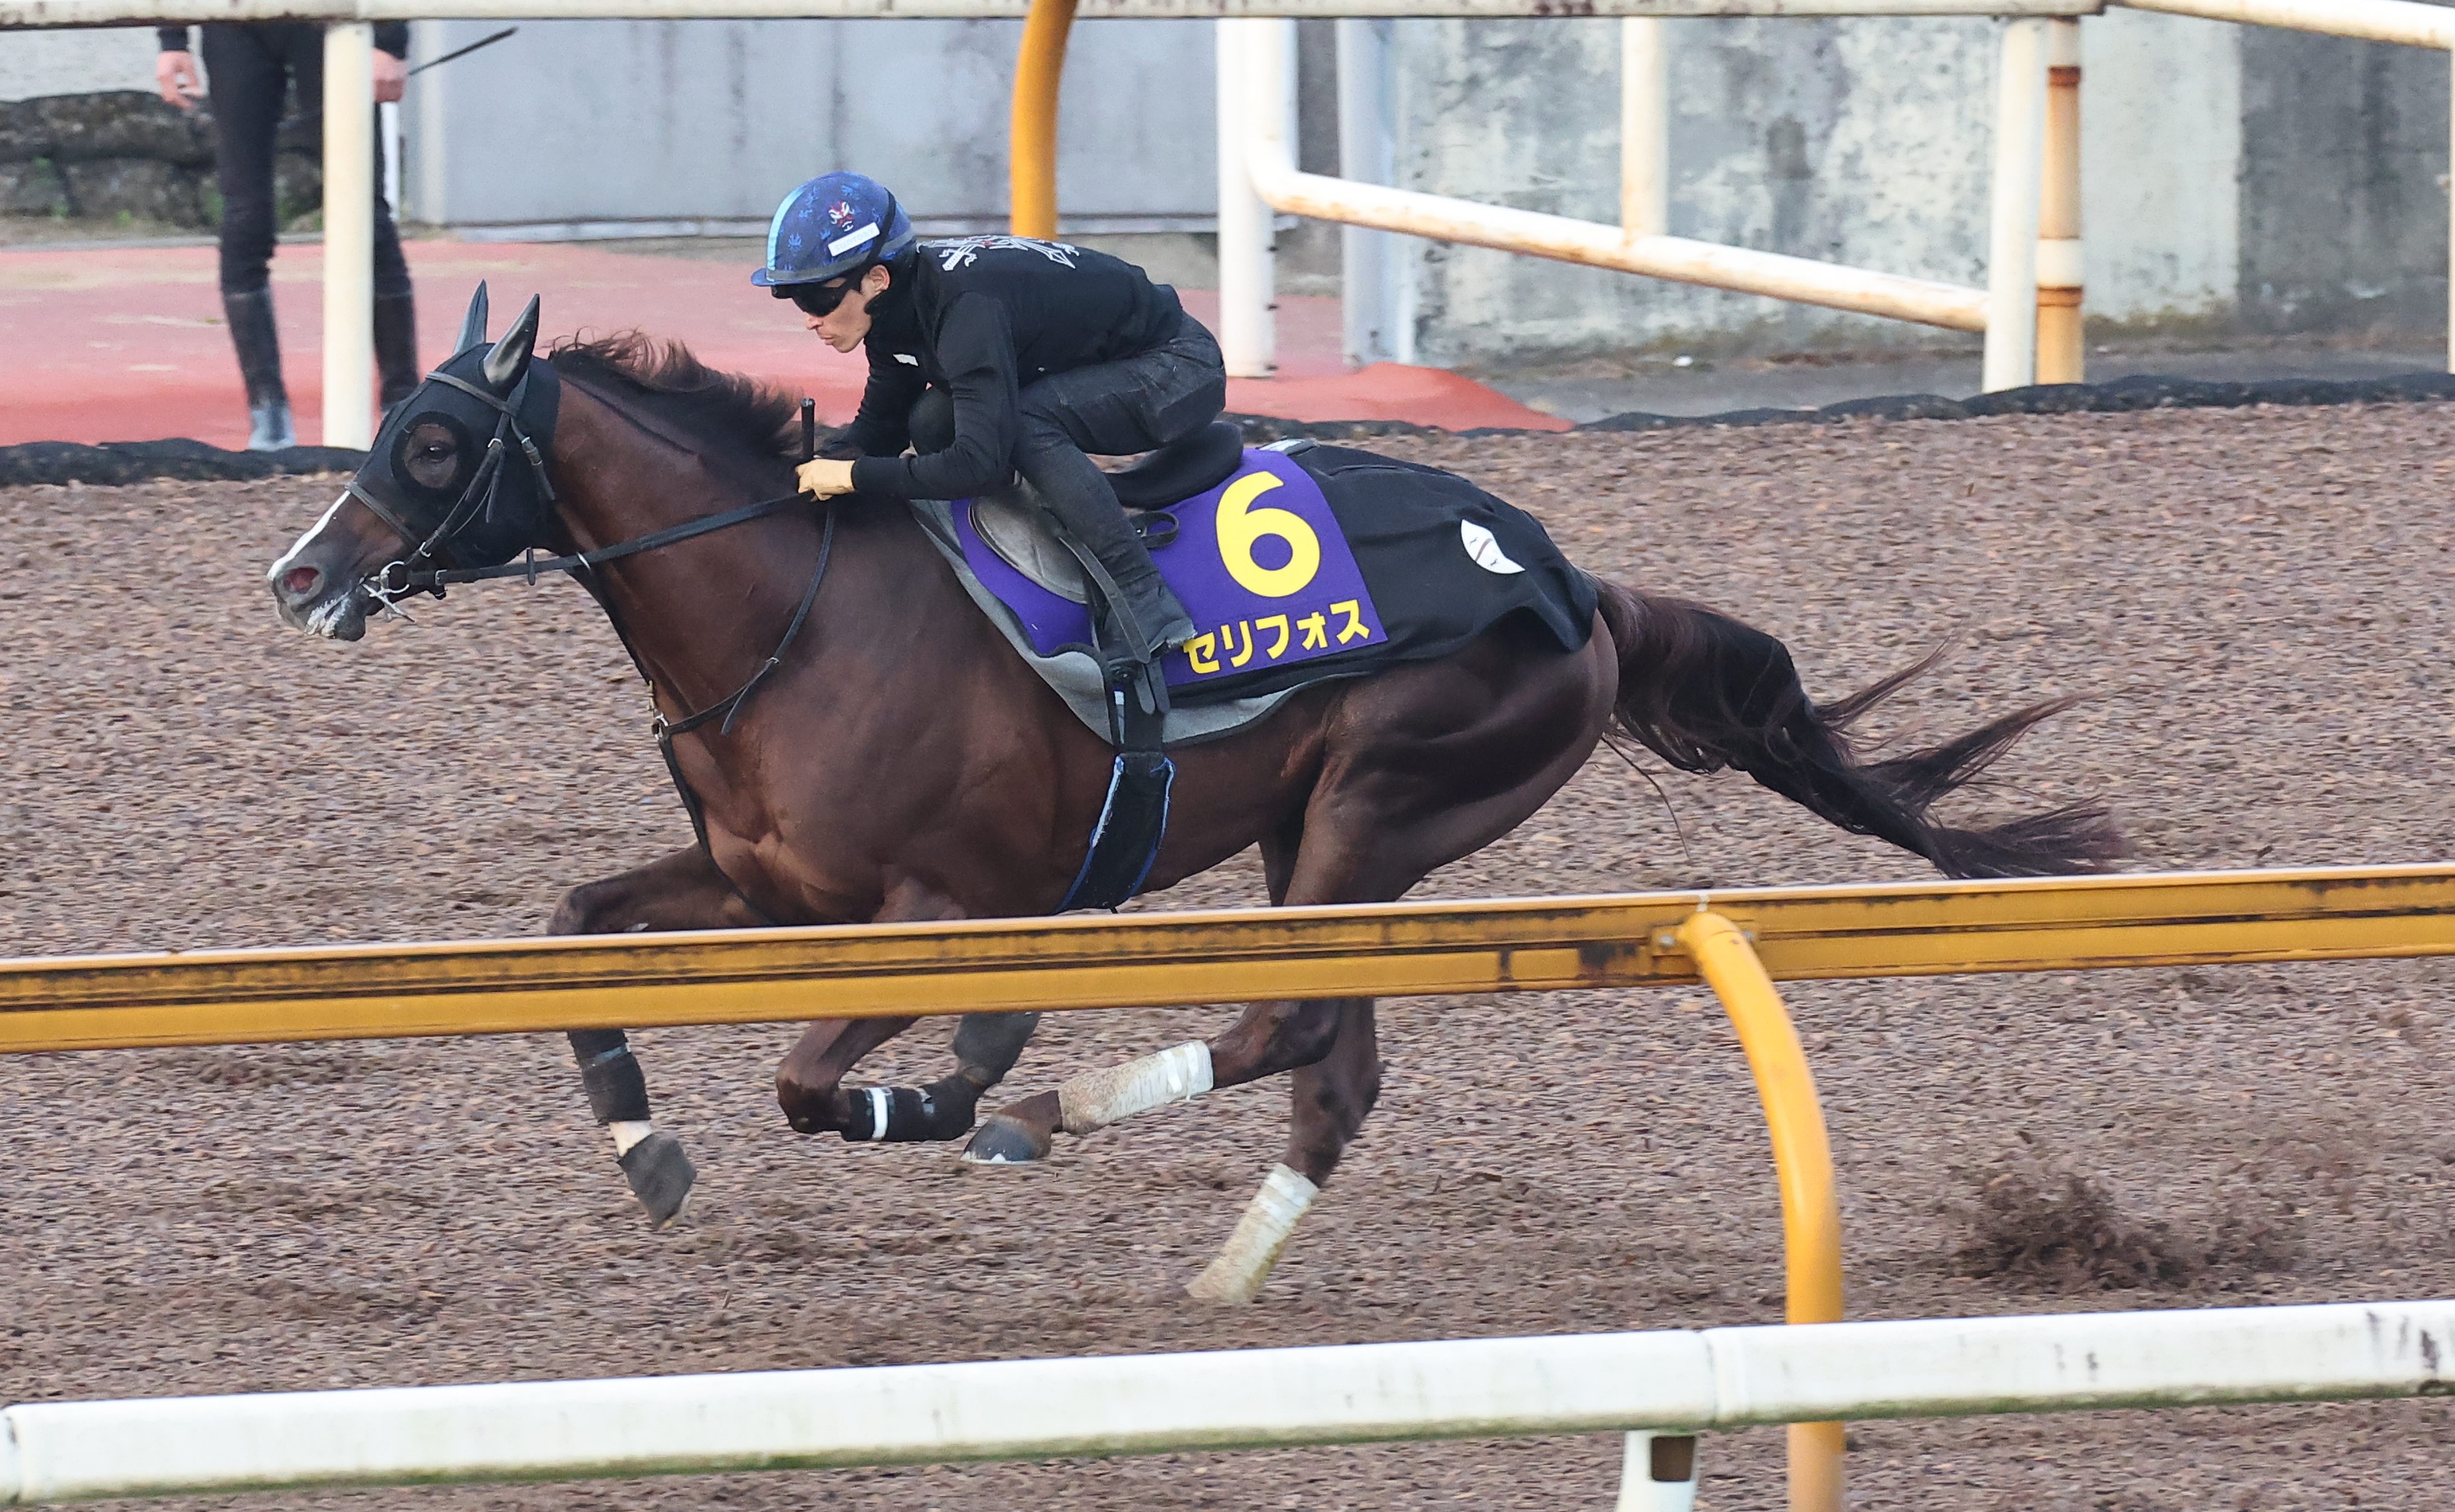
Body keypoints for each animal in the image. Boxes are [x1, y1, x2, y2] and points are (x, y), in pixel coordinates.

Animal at [264, 289, 2111, 1305]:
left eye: (434, 443)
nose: (299, 576)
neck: (796, 608)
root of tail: (1575, 581)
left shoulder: (944, 907)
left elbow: (808, 1082)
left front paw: (950, 1085)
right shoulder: (765, 888)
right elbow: (577, 926)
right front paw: (646, 1148)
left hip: (1382, 802)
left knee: (1290, 1027)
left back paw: (1041, 1109)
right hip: (1333, 840)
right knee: (1335, 1067)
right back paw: (1223, 1269)